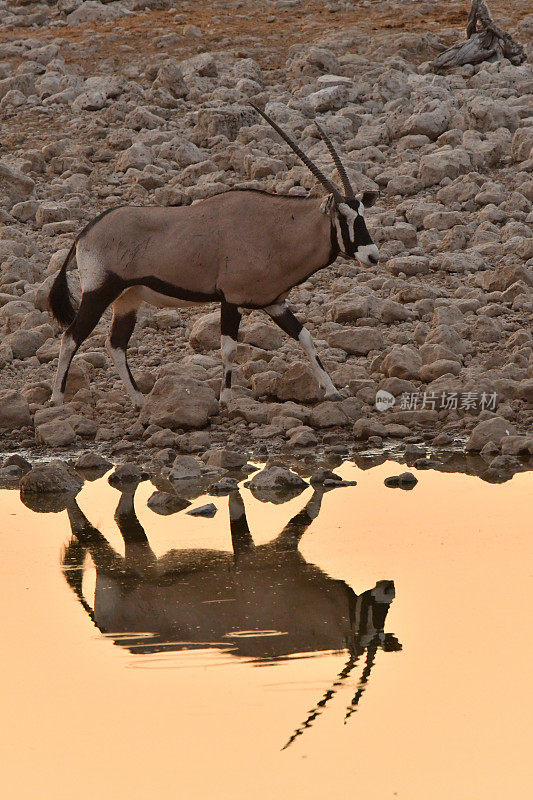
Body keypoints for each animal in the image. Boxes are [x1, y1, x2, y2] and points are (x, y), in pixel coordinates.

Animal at [46, 102, 378, 406]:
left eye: (362, 212)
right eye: (344, 217)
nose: (372, 256)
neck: (275, 228)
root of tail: (84, 233)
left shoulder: (274, 303)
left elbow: (305, 337)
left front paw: (332, 390)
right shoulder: (231, 299)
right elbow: (229, 349)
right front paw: (226, 399)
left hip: (127, 299)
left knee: (115, 344)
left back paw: (140, 400)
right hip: (99, 292)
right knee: (71, 337)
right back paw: (57, 399)